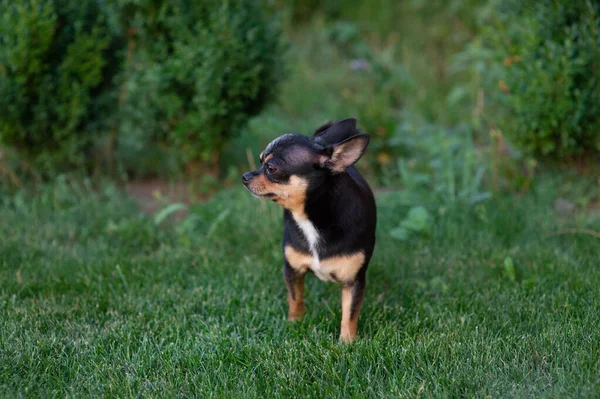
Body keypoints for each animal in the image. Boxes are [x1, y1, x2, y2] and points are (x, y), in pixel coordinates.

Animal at [240, 119, 376, 344]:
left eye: (271, 168)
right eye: (259, 161)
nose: (245, 176)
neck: (310, 219)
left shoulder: (354, 282)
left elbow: (349, 314)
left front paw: (346, 343)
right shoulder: (292, 270)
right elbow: (295, 298)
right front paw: (295, 323)